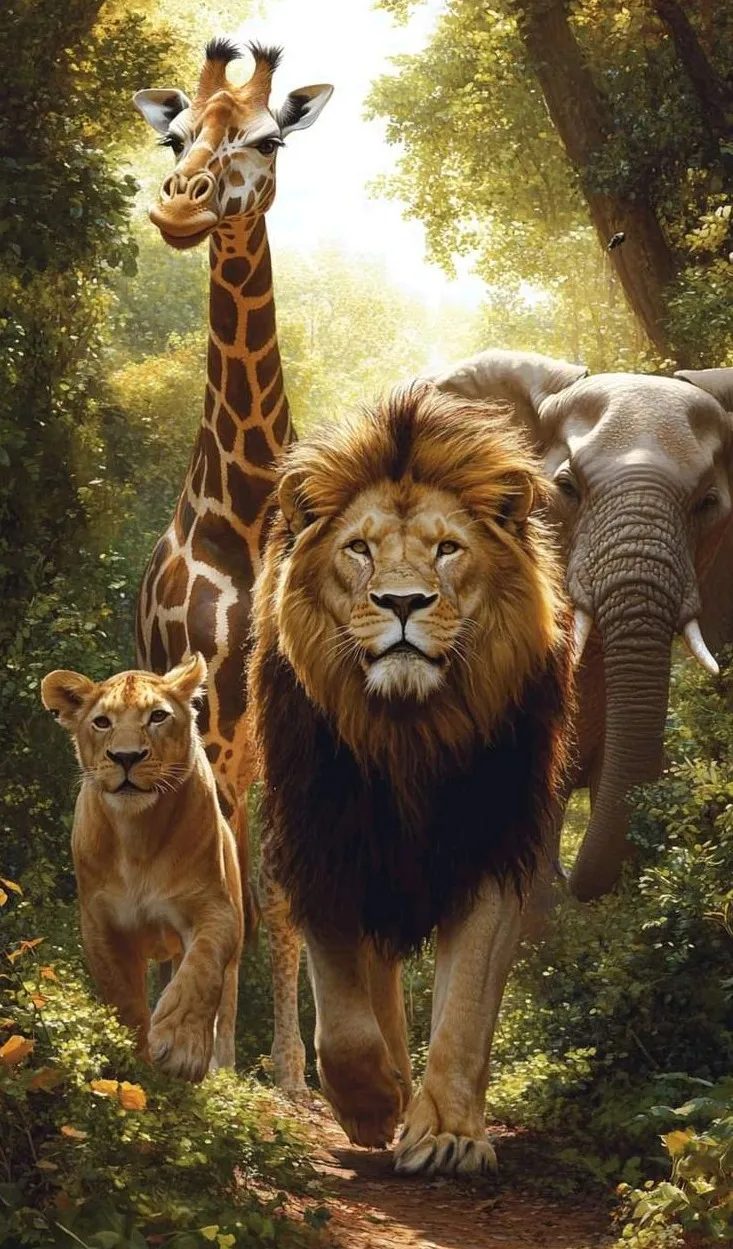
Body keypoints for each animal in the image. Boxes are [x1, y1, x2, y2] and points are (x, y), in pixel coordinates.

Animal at [41, 654, 243, 1082]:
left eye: (158, 716)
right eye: (102, 722)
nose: (126, 757)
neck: (138, 837)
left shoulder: (215, 909)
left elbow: (201, 970)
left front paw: (181, 1047)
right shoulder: (101, 924)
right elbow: (124, 999)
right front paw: (133, 1063)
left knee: (225, 1006)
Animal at [248, 382, 574, 1177]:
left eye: (447, 548)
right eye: (358, 548)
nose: (402, 603)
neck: (407, 733)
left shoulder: (492, 846)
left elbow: (464, 1010)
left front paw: (449, 1132)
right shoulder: (319, 836)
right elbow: (342, 1002)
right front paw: (370, 1102)